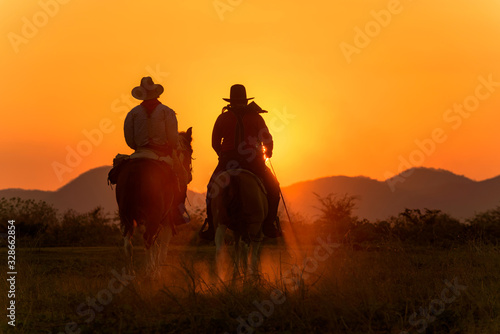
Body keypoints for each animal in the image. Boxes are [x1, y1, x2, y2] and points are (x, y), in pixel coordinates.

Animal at [116, 126, 192, 276]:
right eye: (190, 152)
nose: (189, 175)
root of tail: (135, 171)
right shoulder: (167, 220)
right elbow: (162, 248)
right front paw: (157, 270)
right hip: (153, 215)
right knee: (147, 238)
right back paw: (149, 272)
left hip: (125, 215)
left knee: (128, 242)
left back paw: (131, 273)